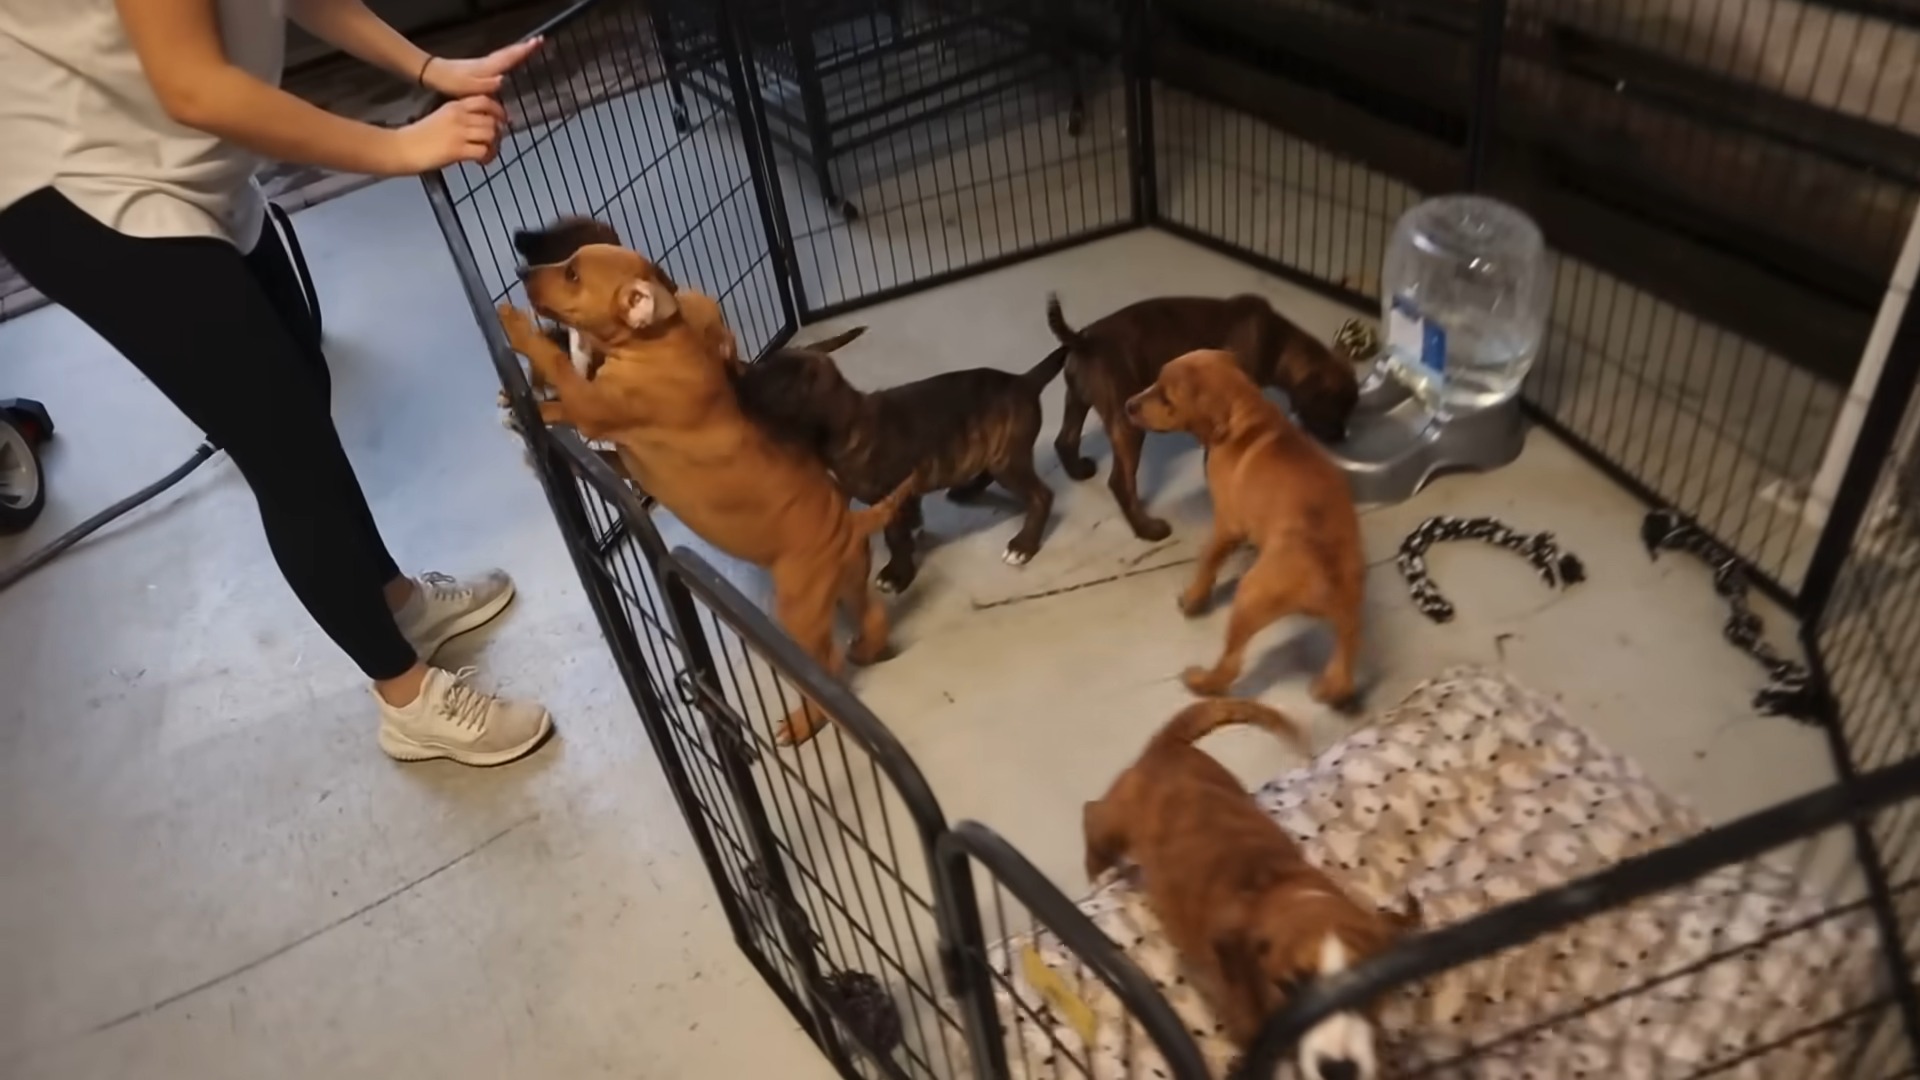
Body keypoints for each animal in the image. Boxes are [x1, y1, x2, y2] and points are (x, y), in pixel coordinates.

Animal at [495, 240, 913, 737]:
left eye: (573, 275)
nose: (521, 271)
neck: (654, 343)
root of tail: (850, 522)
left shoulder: (593, 408)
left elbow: (559, 366)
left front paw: (515, 327)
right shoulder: (623, 457)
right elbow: (580, 426)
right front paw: (521, 414)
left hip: (800, 608)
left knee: (827, 664)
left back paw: (803, 723)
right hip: (845, 579)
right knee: (871, 614)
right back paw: (867, 649)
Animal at [729, 338, 1067, 591]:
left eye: (775, 382)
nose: (736, 373)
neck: (848, 426)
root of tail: (1024, 381)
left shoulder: (889, 495)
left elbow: (895, 537)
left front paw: (897, 574)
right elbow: (906, 524)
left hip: (1008, 459)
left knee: (1040, 496)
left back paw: (1023, 545)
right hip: (992, 450)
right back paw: (967, 490)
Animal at [1044, 294, 1359, 541]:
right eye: (1336, 408)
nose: (1342, 436)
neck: (1280, 343)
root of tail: (1084, 340)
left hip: (1077, 400)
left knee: (1065, 440)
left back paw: (1078, 471)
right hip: (1128, 424)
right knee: (1120, 483)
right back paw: (1147, 530)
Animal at [1090, 691, 1420, 1068]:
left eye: (1369, 988)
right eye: (1291, 987)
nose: (1339, 1070)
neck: (1277, 888)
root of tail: (1167, 746)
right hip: (1114, 822)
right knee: (1091, 814)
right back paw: (1098, 872)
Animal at [1121, 345, 1367, 707]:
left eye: (1166, 397)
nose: (1128, 405)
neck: (1247, 416)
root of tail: (1326, 573)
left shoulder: (1227, 524)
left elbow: (1208, 561)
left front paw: (1194, 597)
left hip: (1249, 597)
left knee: (1230, 667)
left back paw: (1201, 681)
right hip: (1350, 613)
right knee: (1346, 657)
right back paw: (1333, 687)